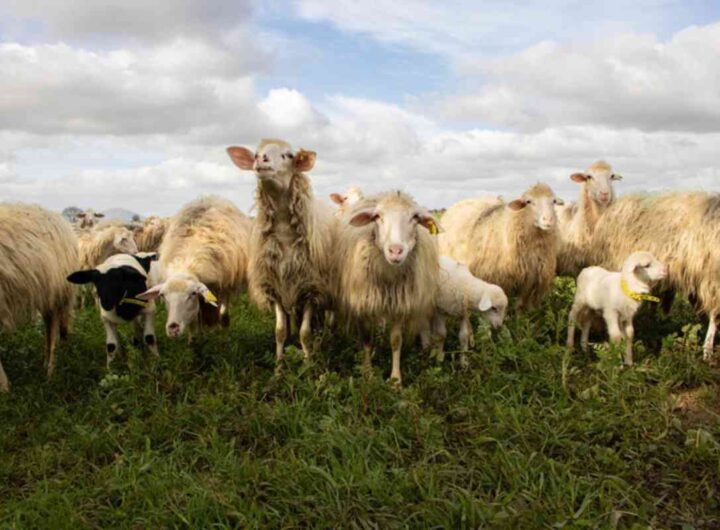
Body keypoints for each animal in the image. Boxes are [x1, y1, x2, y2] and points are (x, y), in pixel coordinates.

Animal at [0, 203, 78, 391]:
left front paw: (4, 388)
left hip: (58, 291)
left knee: (55, 330)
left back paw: (51, 372)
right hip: (47, 295)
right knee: (50, 329)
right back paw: (45, 365)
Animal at [138, 196, 251, 338]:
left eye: (192, 294)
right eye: (162, 295)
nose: (173, 328)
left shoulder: (225, 283)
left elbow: (223, 310)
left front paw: (223, 328)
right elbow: (195, 319)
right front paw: (194, 338)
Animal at [226, 139, 338, 367]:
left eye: (289, 155)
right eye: (255, 153)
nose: (261, 160)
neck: (285, 234)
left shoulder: (310, 289)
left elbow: (305, 333)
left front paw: (308, 365)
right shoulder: (274, 287)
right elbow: (279, 331)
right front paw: (279, 367)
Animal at [337, 191, 440, 385]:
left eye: (415, 217)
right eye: (377, 216)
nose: (395, 251)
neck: (388, 277)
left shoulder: (400, 305)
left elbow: (396, 341)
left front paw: (395, 380)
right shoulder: (363, 305)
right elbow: (366, 340)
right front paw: (368, 375)